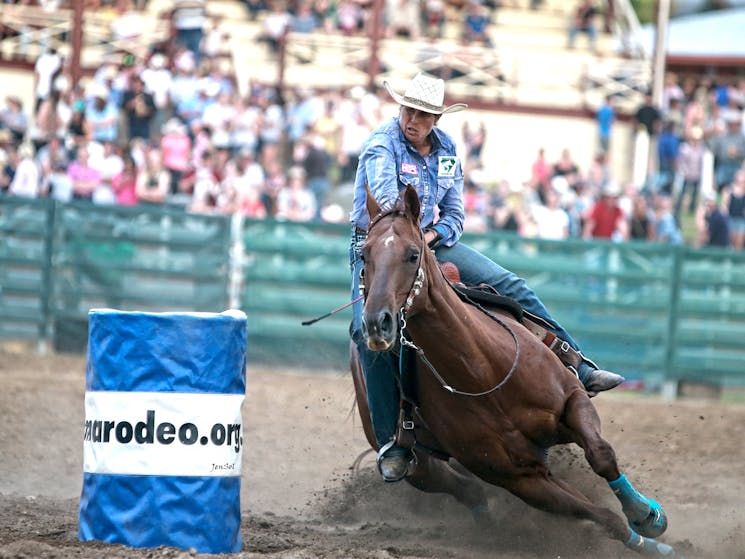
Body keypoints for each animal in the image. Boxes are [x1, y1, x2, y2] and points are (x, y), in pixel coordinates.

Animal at [348, 186, 676, 556]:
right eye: (365, 255)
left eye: (412, 253)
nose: (377, 323)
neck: (483, 373)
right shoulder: (521, 478)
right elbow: (601, 516)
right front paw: (647, 541)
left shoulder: (572, 401)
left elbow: (601, 455)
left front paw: (648, 517)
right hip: (422, 466)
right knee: (464, 488)